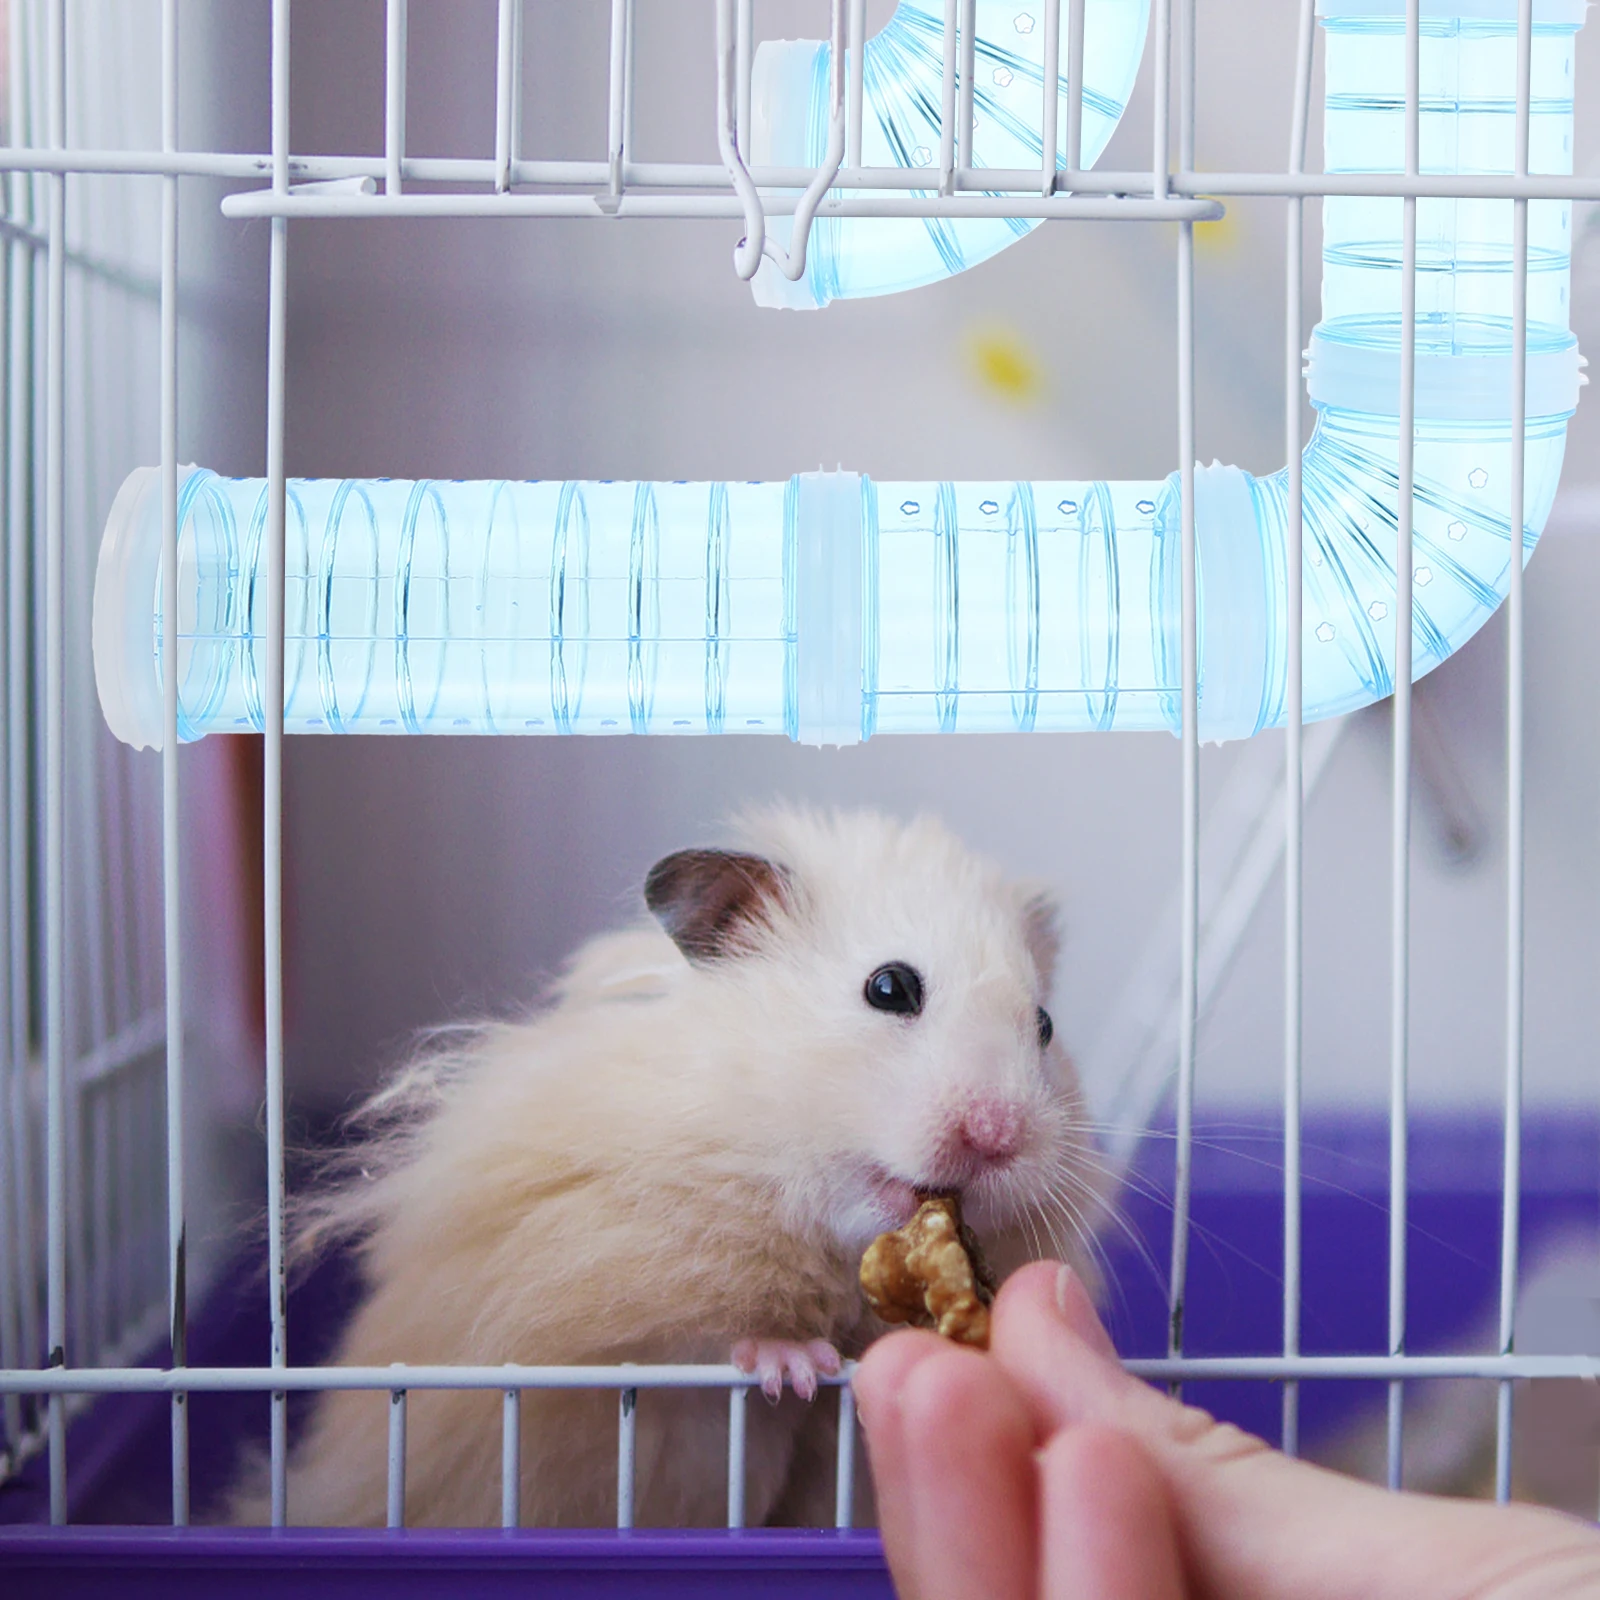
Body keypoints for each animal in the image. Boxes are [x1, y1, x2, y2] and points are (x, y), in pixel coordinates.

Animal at [228, 806, 1103, 1529]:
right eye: (889, 987)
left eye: (1045, 1025)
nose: (999, 1136)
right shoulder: (596, 1305)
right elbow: (696, 1344)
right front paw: (796, 1366)